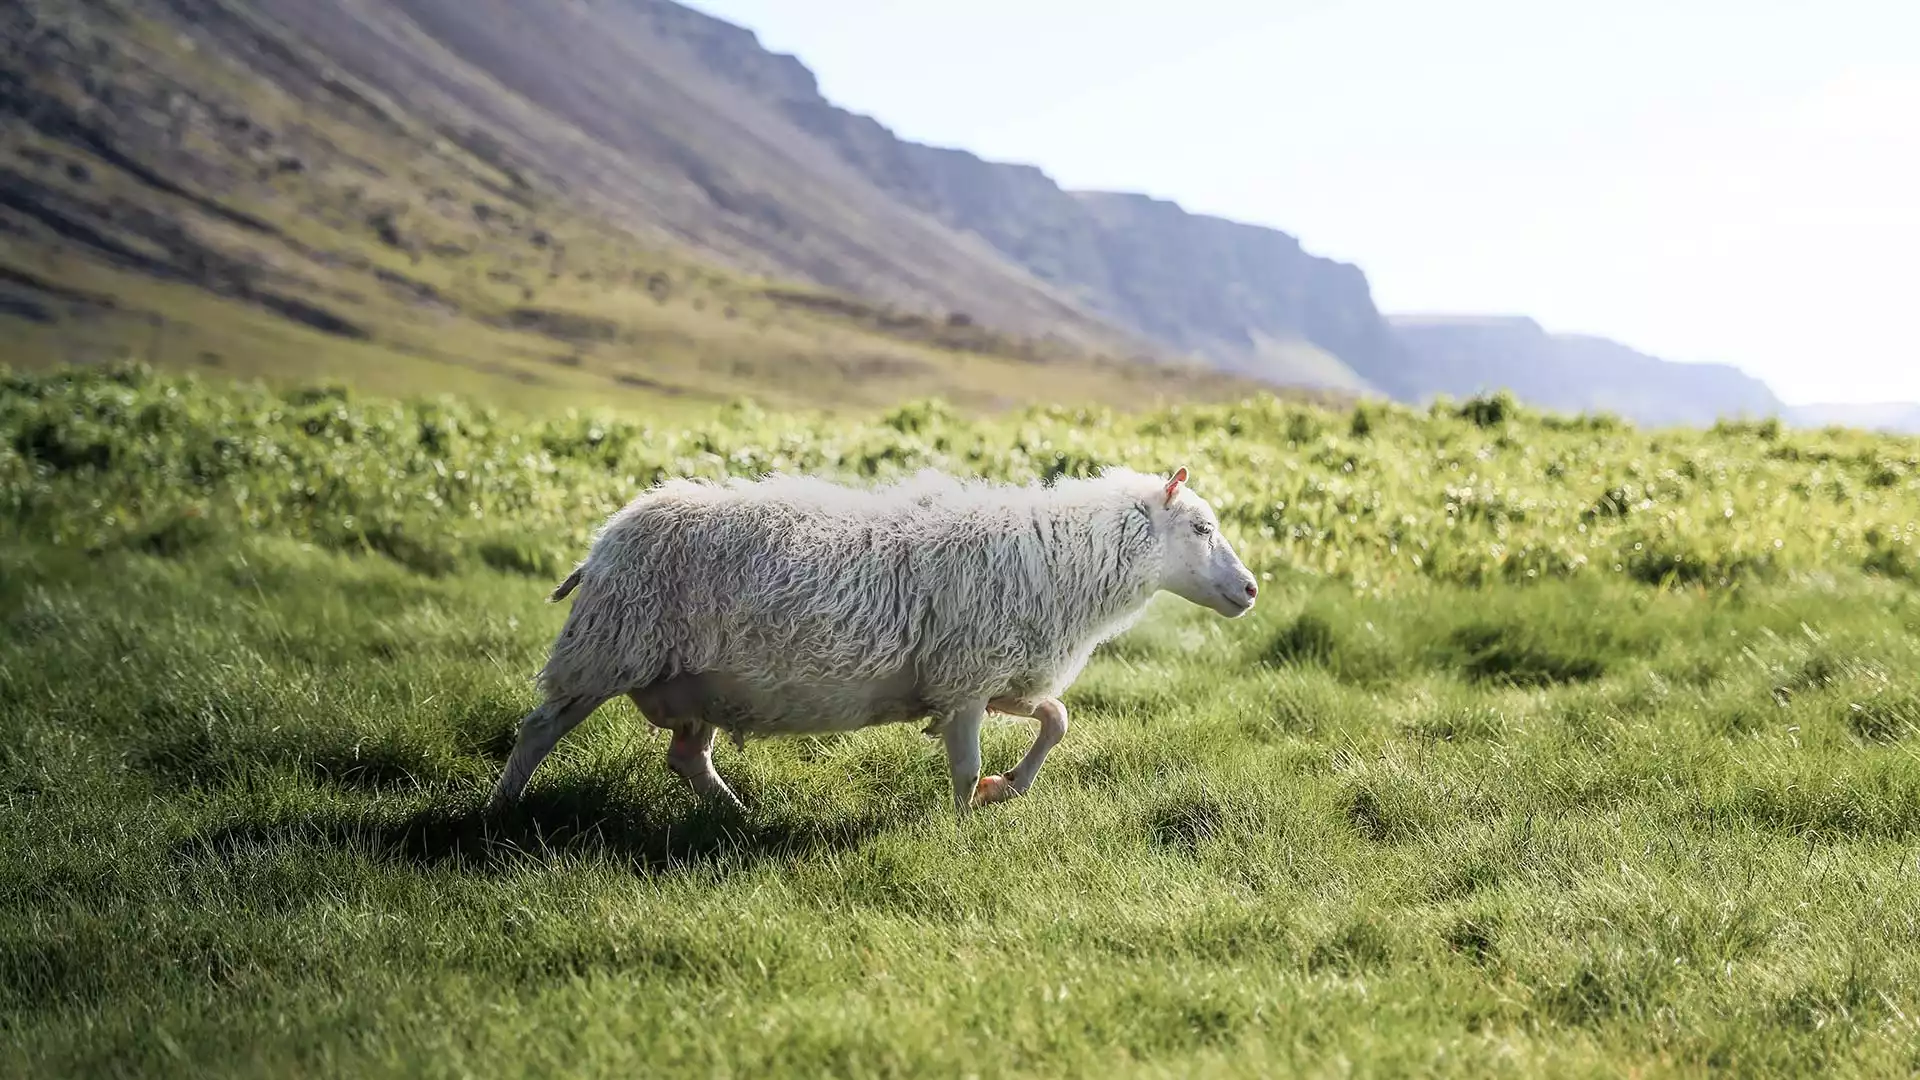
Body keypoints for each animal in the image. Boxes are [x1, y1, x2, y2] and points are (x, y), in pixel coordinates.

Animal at [487, 461, 1251, 807]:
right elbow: (964, 766)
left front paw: (1008, 787)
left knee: (687, 759)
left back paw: (734, 813)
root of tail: (604, 539)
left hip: (692, 683)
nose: (1251, 591)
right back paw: (500, 809)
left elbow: (1057, 718)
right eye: (1202, 528)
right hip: (607, 651)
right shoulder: (966, 680)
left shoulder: (983, 677)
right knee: (538, 729)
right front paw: (962, 827)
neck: (1062, 559)